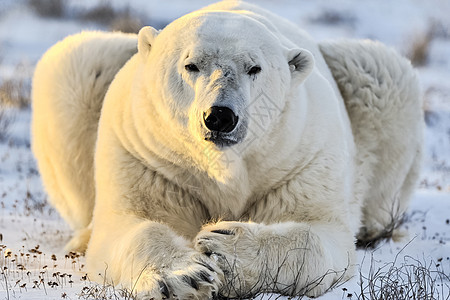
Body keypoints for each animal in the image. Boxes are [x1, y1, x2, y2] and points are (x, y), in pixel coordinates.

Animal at [32, 1, 422, 298]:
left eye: (254, 67)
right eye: (190, 64)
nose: (220, 116)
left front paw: (223, 247)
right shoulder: (145, 157)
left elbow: (320, 233)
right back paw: (80, 238)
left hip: (372, 84)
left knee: (379, 70)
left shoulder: (301, 158)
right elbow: (132, 224)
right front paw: (184, 278)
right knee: (76, 62)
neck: (223, 167)